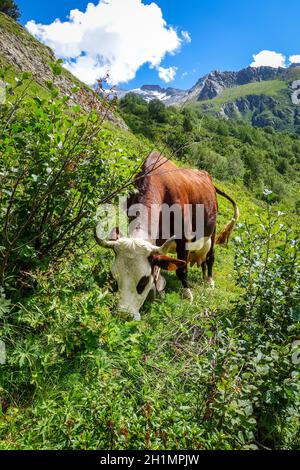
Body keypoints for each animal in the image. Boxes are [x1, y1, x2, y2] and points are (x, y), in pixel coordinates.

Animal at [95, 151, 240, 320]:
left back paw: (209, 281)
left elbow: (181, 269)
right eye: (113, 277)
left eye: (143, 281)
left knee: (210, 257)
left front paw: (187, 294)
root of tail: (206, 175)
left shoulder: (184, 237)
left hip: (212, 229)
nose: (123, 314)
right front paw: (158, 288)